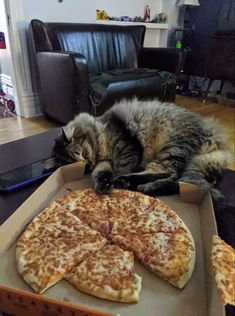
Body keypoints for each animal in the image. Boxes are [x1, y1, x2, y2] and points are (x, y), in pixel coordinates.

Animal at [54, 97, 232, 199]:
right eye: (81, 167)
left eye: (83, 153)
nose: (89, 164)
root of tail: (216, 135)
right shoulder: (104, 162)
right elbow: (101, 173)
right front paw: (103, 185)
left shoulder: (127, 149)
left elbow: (121, 168)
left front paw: (114, 181)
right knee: (177, 181)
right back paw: (146, 188)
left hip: (173, 147)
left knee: (167, 172)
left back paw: (126, 182)